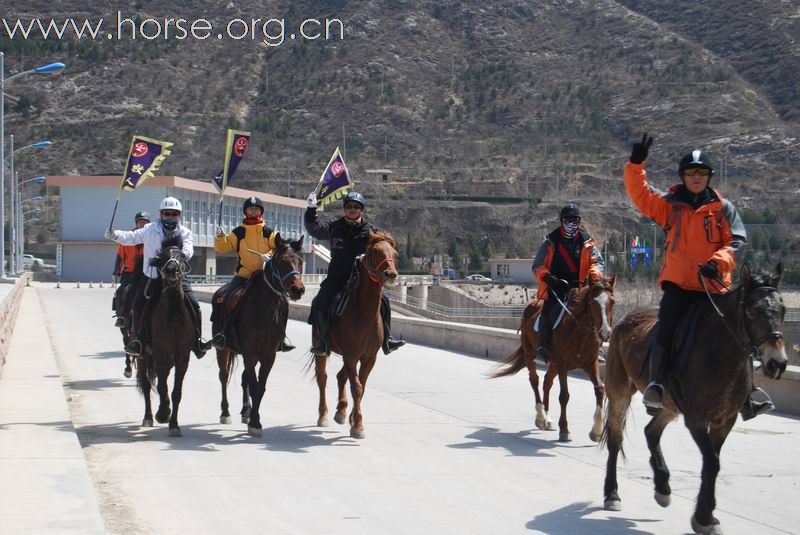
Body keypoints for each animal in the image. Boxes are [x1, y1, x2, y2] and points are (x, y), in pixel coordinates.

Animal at [136, 237, 195, 438]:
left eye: (181, 255)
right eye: (162, 257)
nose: (171, 270)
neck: (173, 316)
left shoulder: (182, 358)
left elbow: (176, 392)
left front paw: (174, 424)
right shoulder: (161, 357)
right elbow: (162, 388)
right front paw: (163, 414)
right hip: (143, 356)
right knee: (147, 385)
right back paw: (148, 417)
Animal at [214, 237, 304, 438]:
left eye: (300, 261)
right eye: (281, 262)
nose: (298, 289)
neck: (264, 310)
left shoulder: (269, 355)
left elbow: (260, 387)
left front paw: (253, 418)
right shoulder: (249, 353)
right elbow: (255, 386)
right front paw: (255, 423)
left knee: (244, 378)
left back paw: (246, 411)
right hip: (223, 349)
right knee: (223, 376)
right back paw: (225, 412)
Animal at [312, 230, 400, 440]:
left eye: (395, 253)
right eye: (374, 251)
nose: (391, 274)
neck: (364, 312)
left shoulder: (368, 357)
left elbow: (362, 385)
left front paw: (353, 419)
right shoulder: (351, 355)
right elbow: (357, 387)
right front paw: (358, 425)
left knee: (340, 376)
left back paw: (341, 411)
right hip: (322, 347)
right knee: (323, 378)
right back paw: (324, 415)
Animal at [490, 274, 616, 442]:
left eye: (612, 302)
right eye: (592, 302)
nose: (605, 332)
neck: (579, 331)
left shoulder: (590, 363)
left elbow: (600, 389)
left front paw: (596, 431)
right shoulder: (563, 364)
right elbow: (564, 395)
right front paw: (564, 429)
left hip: (554, 364)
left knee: (547, 382)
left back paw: (548, 418)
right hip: (530, 354)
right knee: (535, 381)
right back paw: (541, 417)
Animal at [600, 264, 788, 535]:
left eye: (783, 309)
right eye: (752, 310)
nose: (777, 363)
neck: (719, 352)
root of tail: (625, 320)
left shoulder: (725, 420)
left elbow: (713, 463)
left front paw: (707, 517)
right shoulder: (697, 419)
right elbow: (711, 462)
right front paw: (703, 516)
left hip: (669, 406)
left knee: (651, 431)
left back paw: (663, 487)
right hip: (619, 391)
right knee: (615, 439)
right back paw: (612, 494)